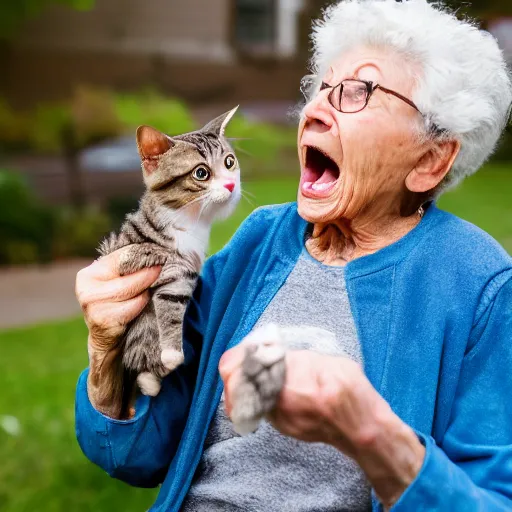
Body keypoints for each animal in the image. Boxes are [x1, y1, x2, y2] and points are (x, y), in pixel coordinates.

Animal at [99, 107, 241, 416]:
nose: (231, 184)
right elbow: (169, 302)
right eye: (201, 173)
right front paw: (173, 352)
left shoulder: (187, 273)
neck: (189, 222)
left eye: (230, 162)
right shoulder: (162, 264)